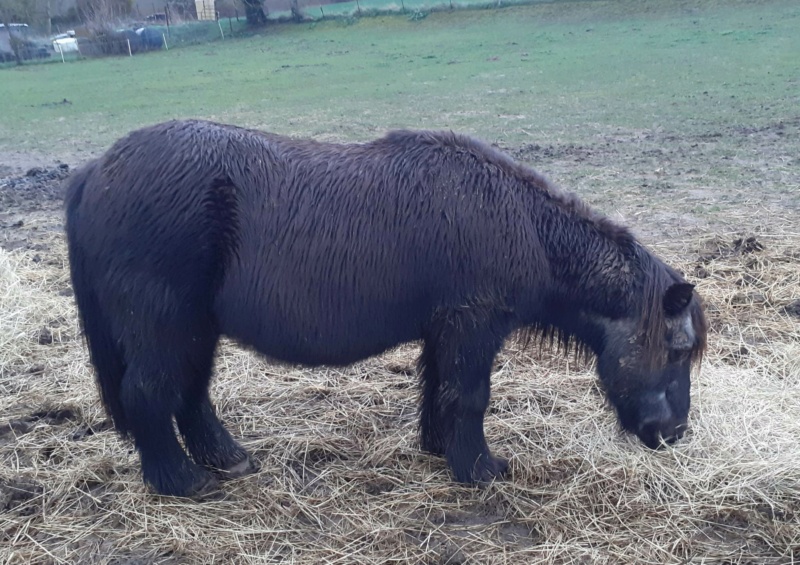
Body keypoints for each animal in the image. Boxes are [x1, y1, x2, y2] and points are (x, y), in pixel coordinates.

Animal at [65, 118, 708, 494]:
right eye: (677, 351)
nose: (674, 434)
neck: (519, 224)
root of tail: (99, 169)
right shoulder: (473, 325)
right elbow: (469, 396)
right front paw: (480, 471)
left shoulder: (445, 328)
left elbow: (438, 390)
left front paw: (440, 449)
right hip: (164, 324)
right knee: (150, 394)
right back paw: (180, 481)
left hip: (195, 329)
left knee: (191, 394)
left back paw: (227, 459)